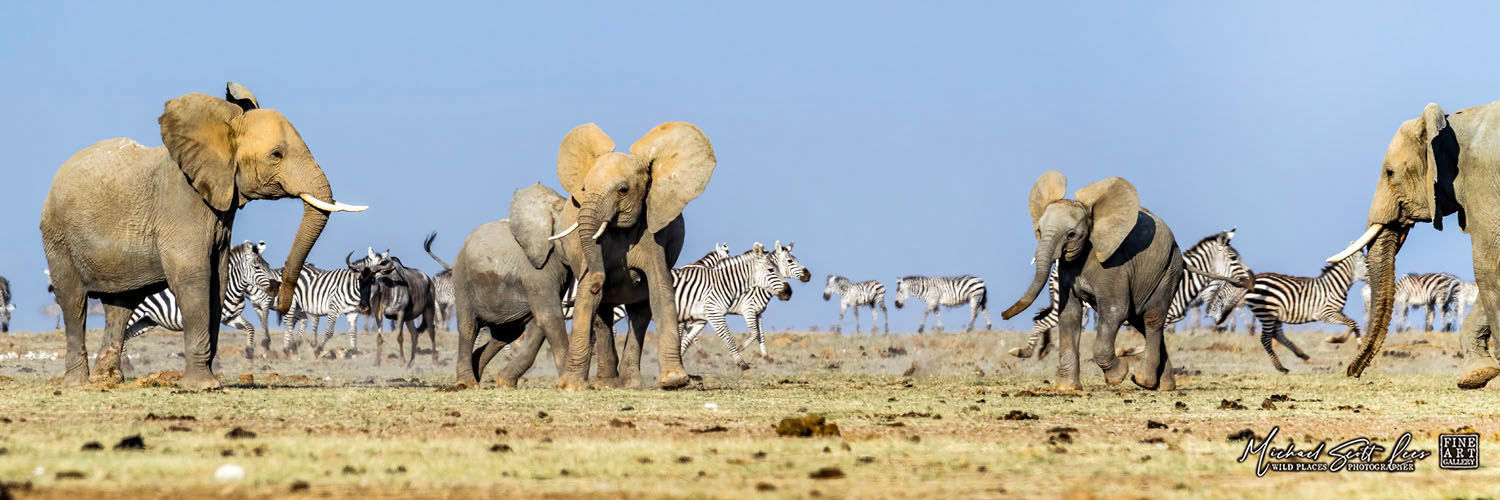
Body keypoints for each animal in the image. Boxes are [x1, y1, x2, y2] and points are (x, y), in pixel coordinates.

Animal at [121, 241, 276, 358]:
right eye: (257, 267)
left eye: (268, 265)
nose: (276, 285)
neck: (231, 288)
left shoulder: (231, 317)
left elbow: (250, 327)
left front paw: (249, 351)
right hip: (136, 315)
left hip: (147, 321)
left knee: (125, 335)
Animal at [542, 122, 716, 390]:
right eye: (584, 188)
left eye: (623, 190)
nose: (599, 283)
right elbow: (587, 301)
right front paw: (570, 386)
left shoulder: (654, 233)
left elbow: (660, 290)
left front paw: (674, 381)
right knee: (603, 315)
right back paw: (606, 384)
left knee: (640, 313)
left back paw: (631, 384)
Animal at [1000, 171, 1183, 391]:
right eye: (1039, 231)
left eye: (1071, 234)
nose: (1003, 315)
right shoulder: (1067, 271)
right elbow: (1069, 314)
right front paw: (1067, 389)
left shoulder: (1114, 266)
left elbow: (1114, 311)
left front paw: (1118, 376)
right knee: (1140, 321)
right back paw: (1164, 386)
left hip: (1169, 269)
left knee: (1151, 318)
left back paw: (1143, 381)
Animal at [1236, 249, 1366, 373]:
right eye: (1366, 264)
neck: (1334, 287)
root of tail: (1255, 279)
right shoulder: (1326, 314)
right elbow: (1352, 323)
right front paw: (1352, 343)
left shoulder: (1337, 311)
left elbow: (1353, 323)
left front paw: (1341, 340)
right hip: (1265, 313)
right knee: (1266, 339)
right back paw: (1281, 368)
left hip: (1273, 315)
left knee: (1277, 335)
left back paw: (1304, 356)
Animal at [1331, 101, 1500, 388]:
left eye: (1390, 173)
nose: (1352, 372)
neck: (1451, 125)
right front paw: (1477, 374)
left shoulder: (1483, 184)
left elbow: (1487, 268)